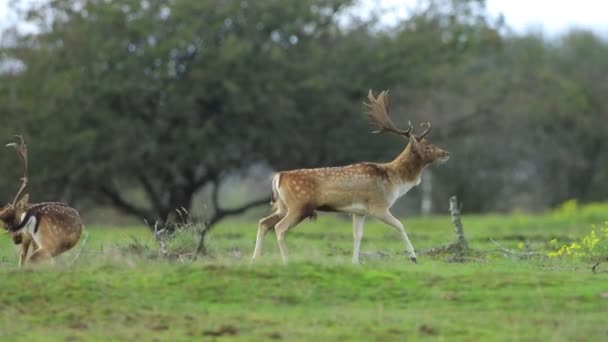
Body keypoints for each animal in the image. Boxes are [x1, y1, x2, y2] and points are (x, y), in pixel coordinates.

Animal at [0, 136, 82, 268]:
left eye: (7, 224)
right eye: (3, 225)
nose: (16, 240)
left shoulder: (28, 238)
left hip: (33, 239)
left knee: (24, 259)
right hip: (49, 242)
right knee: (33, 259)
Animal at [249, 89, 448, 264]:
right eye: (427, 146)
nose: (445, 153)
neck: (395, 181)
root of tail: (278, 176)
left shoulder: (359, 212)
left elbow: (357, 235)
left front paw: (354, 262)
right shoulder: (378, 205)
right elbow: (400, 225)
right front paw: (413, 257)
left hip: (283, 206)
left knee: (263, 223)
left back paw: (254, 260)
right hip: (299, 206)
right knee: (279, 228)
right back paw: (286, 260)